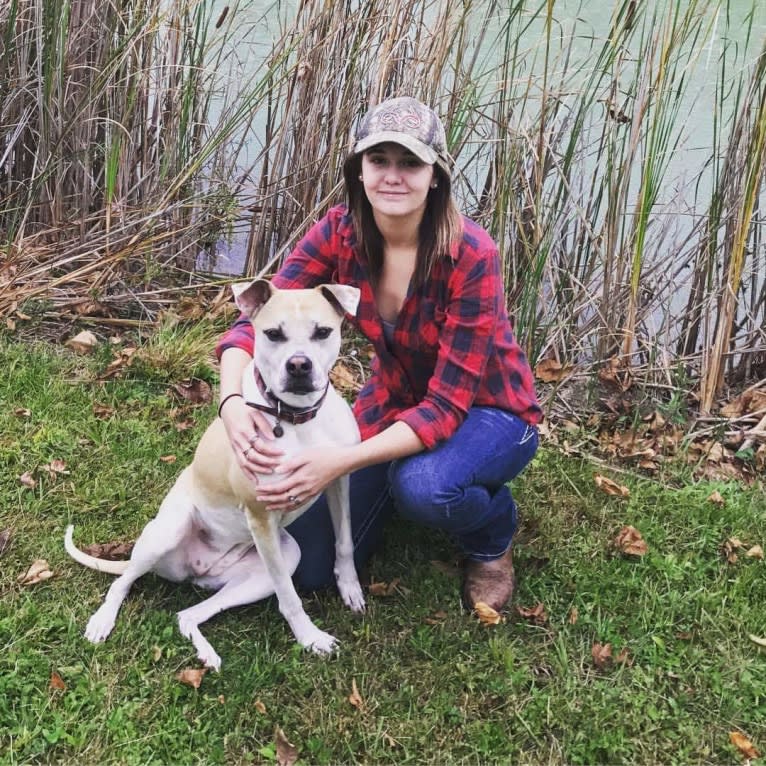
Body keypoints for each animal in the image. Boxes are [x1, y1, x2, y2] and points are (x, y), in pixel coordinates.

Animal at [67, 282, 366, 672]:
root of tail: (199, 568)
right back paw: (103, 621)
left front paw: (350, 587)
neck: (297, 419)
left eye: (323, 332)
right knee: (124, 582)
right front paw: (310, 637)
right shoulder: (260, 516)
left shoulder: (337, 480)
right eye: (273, 334)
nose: (299, 365)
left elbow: (344, 540)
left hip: (279, 559)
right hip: (170, 531)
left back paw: (205, 652)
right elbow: (289, 596)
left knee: (187, 615)